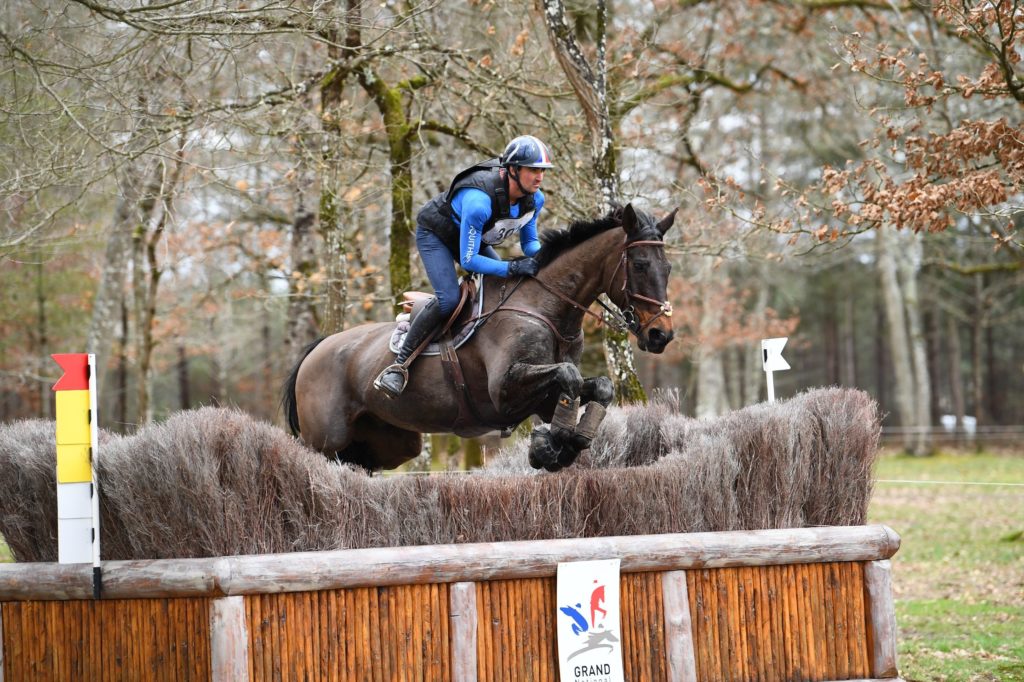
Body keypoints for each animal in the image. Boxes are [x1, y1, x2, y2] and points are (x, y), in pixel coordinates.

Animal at [284, 200, 675, 466]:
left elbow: (596, 385)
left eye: (668, 267)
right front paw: (551, 445)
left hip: (387, 443)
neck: (547, 308)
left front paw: (558, 446)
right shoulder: (503, 392)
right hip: (324, 440)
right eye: (640, 265)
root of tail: (316, 349)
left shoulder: (545, 398)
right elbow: (569, 375)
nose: (662, 335)